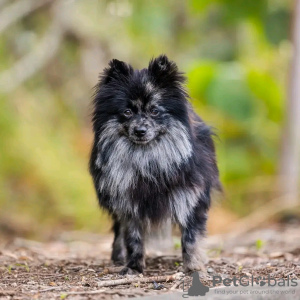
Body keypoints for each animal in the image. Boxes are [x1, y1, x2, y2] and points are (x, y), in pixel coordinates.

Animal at [89, 54, 220, 274]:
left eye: (154, 111)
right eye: (127, 112)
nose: (140, 130)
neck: (147, 158)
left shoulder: (189, 197)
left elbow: (190, 236)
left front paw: (193, 265)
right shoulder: (128, 203)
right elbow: (133, 238)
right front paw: (134, 267)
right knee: (118, 231)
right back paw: (118, 257)